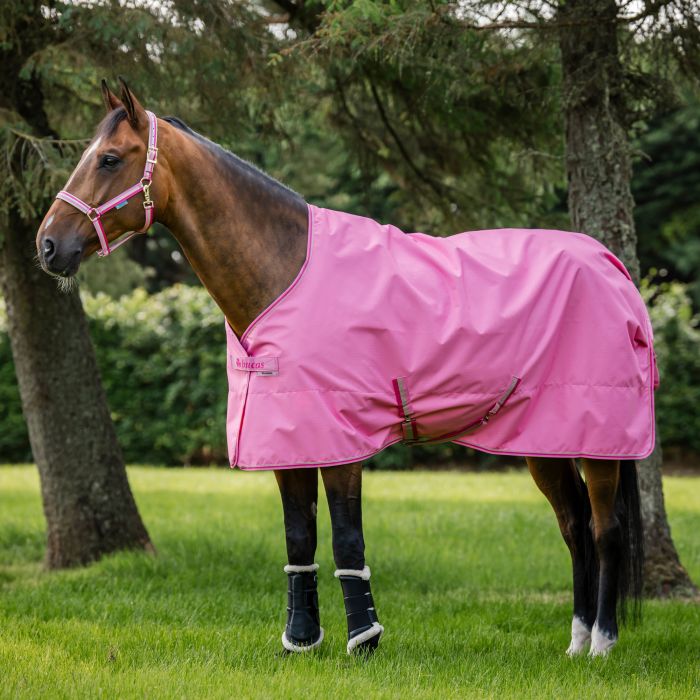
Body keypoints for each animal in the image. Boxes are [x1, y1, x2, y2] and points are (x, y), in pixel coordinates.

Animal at [36, 79, 649, 657]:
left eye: (109, 158)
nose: (46, 245)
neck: (284, 270)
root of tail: (610, 265)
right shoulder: (287, 443)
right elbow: (299, 538)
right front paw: (301, 640)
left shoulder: (341, 443)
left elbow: (347, 540)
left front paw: (364, 641)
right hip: (545, 440)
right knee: (573, 528)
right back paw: (575, 641)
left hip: (600, 442)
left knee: (605, 529)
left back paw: (602, 644)